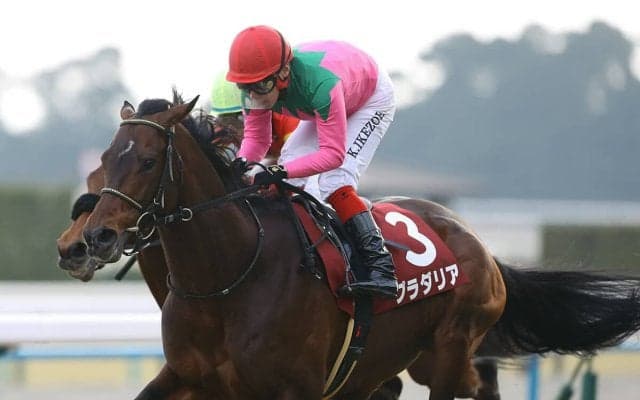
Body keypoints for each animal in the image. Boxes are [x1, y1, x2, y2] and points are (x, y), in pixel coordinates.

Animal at [82, 95, 640, 400]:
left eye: (148, 161)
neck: (226, 280)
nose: (96, 236)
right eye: (106, 159)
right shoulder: (189, 378)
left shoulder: (296, 389)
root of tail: (479, 243)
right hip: (398, 360)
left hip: (449, 347)